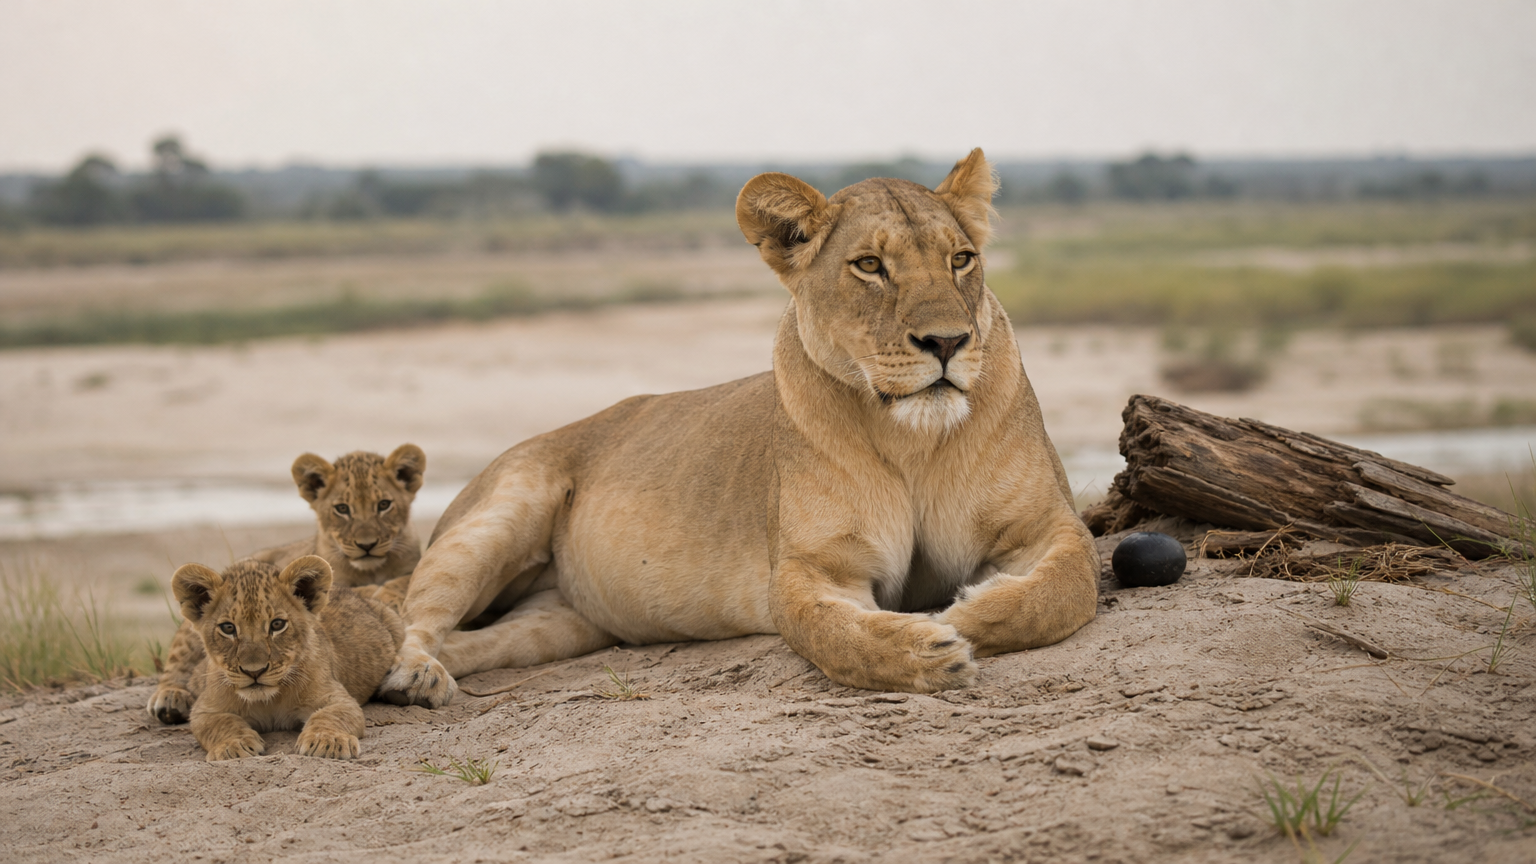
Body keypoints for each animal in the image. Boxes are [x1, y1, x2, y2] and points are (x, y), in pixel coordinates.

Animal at [146, 444, 424, 725]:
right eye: (342, 509)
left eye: (384, 505)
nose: (366, 545)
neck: (372, 570)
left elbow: (403, 580)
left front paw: (384, 592)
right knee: (177, 659)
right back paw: (170, 699)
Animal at [170, 555, 404, 761]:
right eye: (228, 628)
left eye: (277, 624)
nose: (254, 671)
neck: (268, 702)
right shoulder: (204, 710)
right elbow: (221, 723)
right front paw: (232, 746)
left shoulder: (339, 699)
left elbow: (329, 716)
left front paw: (328, 741)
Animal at [376, 148, 1099, 707]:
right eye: (869, 266)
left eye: (961, 259)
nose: (948, 342)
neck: (911, 437)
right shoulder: (813, 565)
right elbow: (832, 633)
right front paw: (925, 651)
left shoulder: (1048, 525)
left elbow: (1061, 591)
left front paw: (969, 612)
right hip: (503, 511)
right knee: (415, 616)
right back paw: (412, 677)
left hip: (560, 623)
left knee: (474, 643)